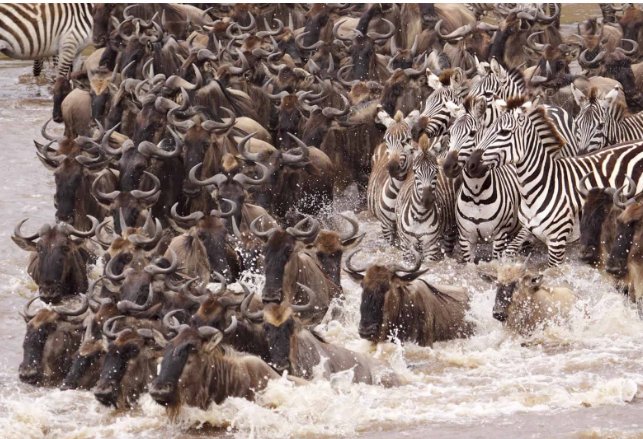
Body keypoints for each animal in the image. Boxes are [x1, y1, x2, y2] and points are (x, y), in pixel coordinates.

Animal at [467, 96, 643, 266]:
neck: (541, 186)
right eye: (487, 130)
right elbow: (510, 250)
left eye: (504, 132)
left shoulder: (557, 242)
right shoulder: (529, 228)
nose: (471, 165)